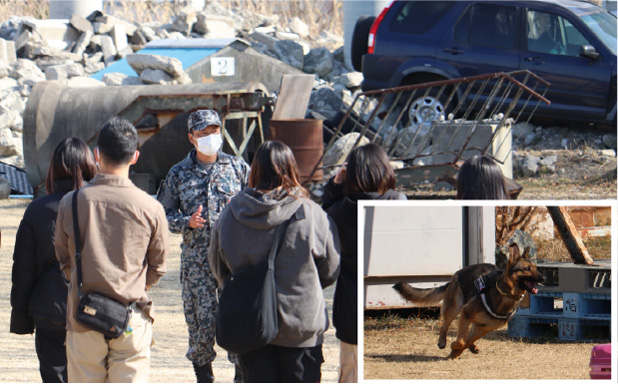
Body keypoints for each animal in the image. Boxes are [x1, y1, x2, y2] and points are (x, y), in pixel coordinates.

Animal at [392, 244, 540, 358]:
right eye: (527, 269)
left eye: (536, 268)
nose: (543, 278)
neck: (505, 294)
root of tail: (458, 273)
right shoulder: (466, 313)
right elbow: (461, 341)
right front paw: (454, 347)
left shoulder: (486, 327)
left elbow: (466, 341)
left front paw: (456, 352)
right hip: (454, 308)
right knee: (444, 325)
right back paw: (442, 342)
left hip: (473, 320)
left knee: (467, 334)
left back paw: (471, 346)